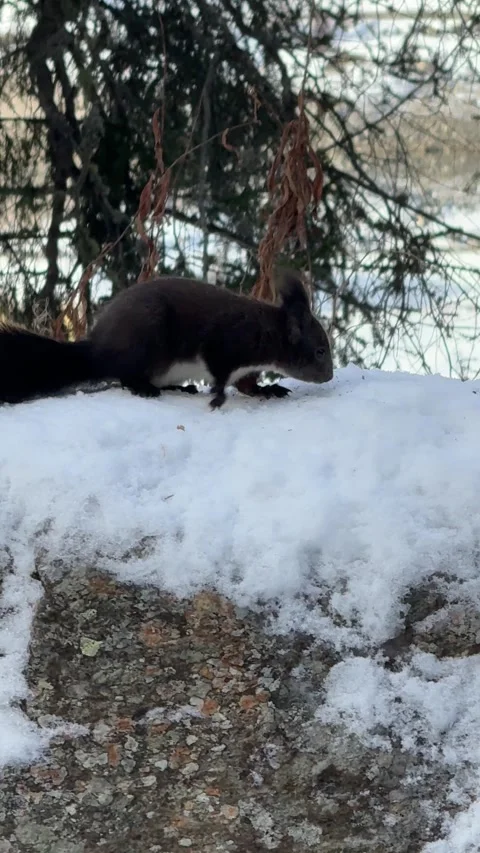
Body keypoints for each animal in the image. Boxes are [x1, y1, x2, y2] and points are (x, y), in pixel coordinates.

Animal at [0, 270, 333, 409]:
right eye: (320, 351)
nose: (329, 376)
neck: (265, 330)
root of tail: (96, 349)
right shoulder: (223, 344)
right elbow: (220, 374)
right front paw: (217, 397)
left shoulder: (245, 366)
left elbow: (247, 385)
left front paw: (269, 390)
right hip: (146, 339)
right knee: (124, 374)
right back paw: (144, 389)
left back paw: (179, 387)